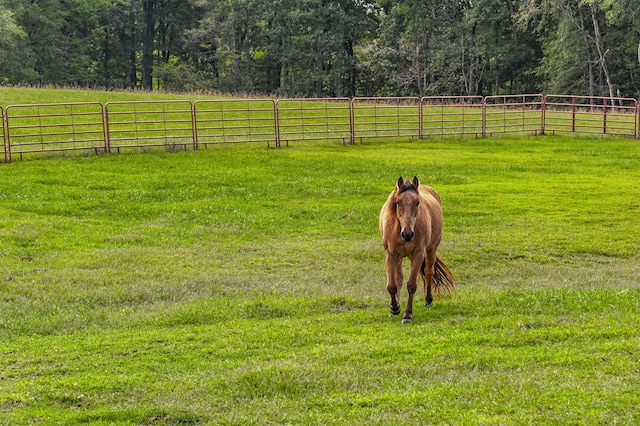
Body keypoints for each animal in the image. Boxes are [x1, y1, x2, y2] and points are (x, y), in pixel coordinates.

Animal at [380, 176, 456, 322]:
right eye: (398, 202)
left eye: (417, 202)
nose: (408, 234)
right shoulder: (391, 254)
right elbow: (392, 285)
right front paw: (394, 308)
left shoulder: (418, 254)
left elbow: (411, 286)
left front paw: (407, 315)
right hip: (399, 257)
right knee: (399, 278)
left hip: (431, 249)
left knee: (429, 272)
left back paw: (428, 300)